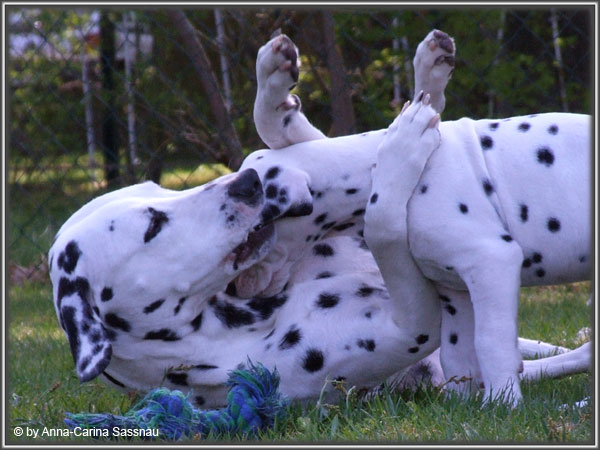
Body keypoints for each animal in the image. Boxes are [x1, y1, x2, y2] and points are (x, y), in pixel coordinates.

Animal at [49, 30, 591, 408]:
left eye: (159, 204)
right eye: (153, 226)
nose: (244, 186)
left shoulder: (485, 264)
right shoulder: (449, 294)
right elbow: (474, 349)